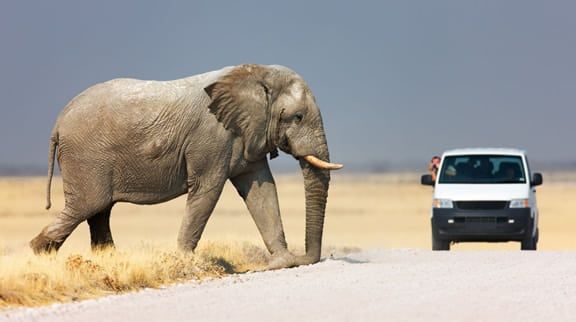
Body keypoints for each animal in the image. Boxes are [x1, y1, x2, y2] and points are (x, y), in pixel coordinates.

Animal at [30, 63, 342, 270]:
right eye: (298, 117)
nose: (306, 259)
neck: (256, 74)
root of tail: (58, 123)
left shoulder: (245, 134)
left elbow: (261, 190)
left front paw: (282, 263)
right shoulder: (212, 138)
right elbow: (208, 190)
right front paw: (184, 261)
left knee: (98, 211)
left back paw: (107, 260)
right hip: (86, 158)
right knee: (86, 206)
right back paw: (38, 256)